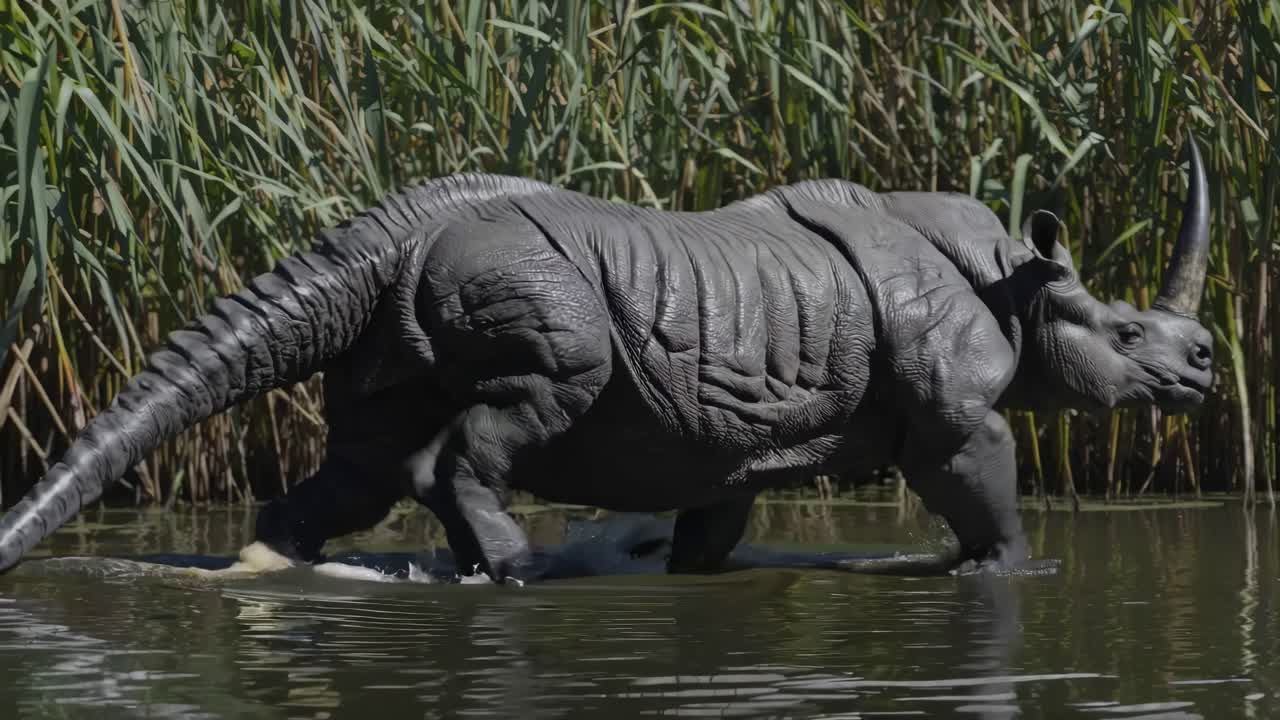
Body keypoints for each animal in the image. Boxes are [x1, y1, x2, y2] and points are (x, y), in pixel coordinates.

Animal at [0, 138, 1213, 582]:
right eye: (1125, 336)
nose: (1203, 364)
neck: (1018, 282)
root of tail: (390, 233)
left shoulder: (739, 435)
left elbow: (712, 519)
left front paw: (689, 574)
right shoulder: (953, 400)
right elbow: (979, 477)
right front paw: (1011, 575)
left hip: (408, 311)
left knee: (366, 456)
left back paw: (282, 565)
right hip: (538, 288)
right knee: (531, 395)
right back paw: (518, 574)